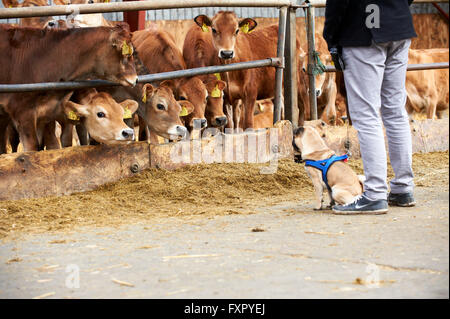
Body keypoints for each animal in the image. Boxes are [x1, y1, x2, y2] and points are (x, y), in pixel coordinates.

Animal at [0, 24, 137, 152]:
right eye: (100, 114)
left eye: (121, 113)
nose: (135, 78)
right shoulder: (24, 114)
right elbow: (33, 148)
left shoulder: (50, 117)